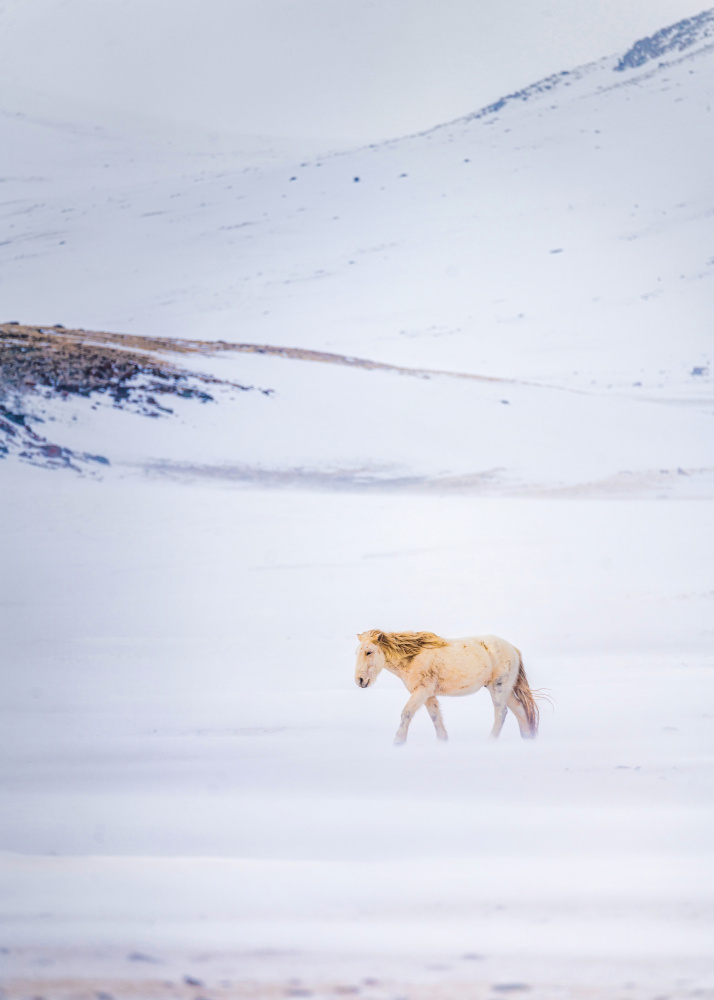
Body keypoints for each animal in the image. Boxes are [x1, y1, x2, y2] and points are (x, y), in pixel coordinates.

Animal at [354, 632, 536, 744]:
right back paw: (527, 738)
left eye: (369, 652)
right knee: (519, 710)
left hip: (498, 688)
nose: (360, 680)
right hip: (506, 690)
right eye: (357, 652)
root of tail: (513, 649)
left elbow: (407, 712)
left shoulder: (422, 691)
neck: (413, 658)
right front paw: (442, 741)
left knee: (501, 713)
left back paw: (490, 741)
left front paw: (398, 741)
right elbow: (435, 717)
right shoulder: (428, 695)